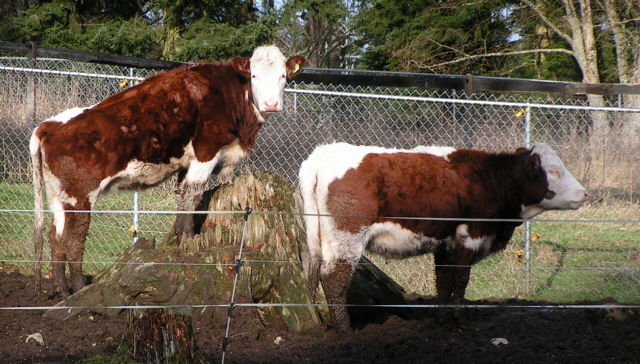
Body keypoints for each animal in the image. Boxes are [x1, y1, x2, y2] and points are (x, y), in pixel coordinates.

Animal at [31, 44, 306, 296]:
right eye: (254, 75)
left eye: (283, 76)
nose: (271, 104)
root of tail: (50, 124)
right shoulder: (206, 152)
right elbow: (192, 196)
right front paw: (188, 241)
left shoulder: (187, 163)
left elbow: (182, 196)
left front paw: (178, 237)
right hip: (80, 196)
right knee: (72, 240)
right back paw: (79, 289)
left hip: (58, 195)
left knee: (56, 238)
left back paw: (63, 291)